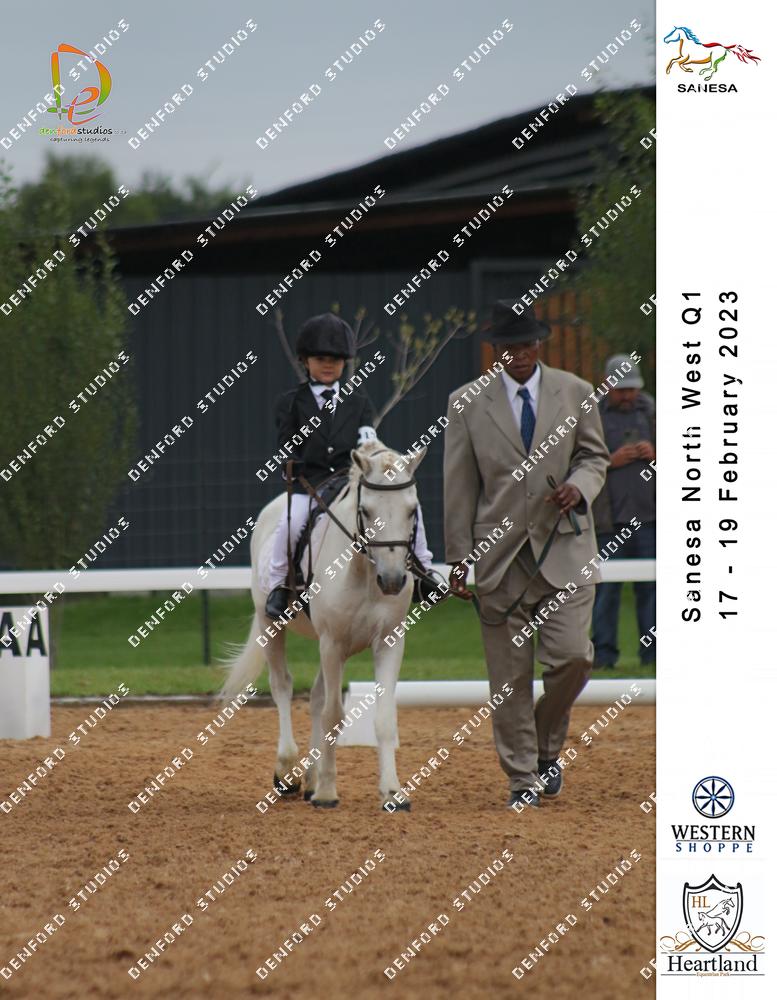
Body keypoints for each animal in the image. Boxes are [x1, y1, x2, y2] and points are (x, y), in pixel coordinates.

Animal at [220, 439, 427, 810]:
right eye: (366, 511)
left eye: (411, 510)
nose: (392, 581)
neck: (364, 573)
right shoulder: (333, 643)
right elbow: (333, 714)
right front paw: (329, 793)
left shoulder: (388, 642)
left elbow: (383, 718)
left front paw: (392, 792)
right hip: (271, 626)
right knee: (283, 687)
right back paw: (287, 771)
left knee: (316, 697)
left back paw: (310, 779)